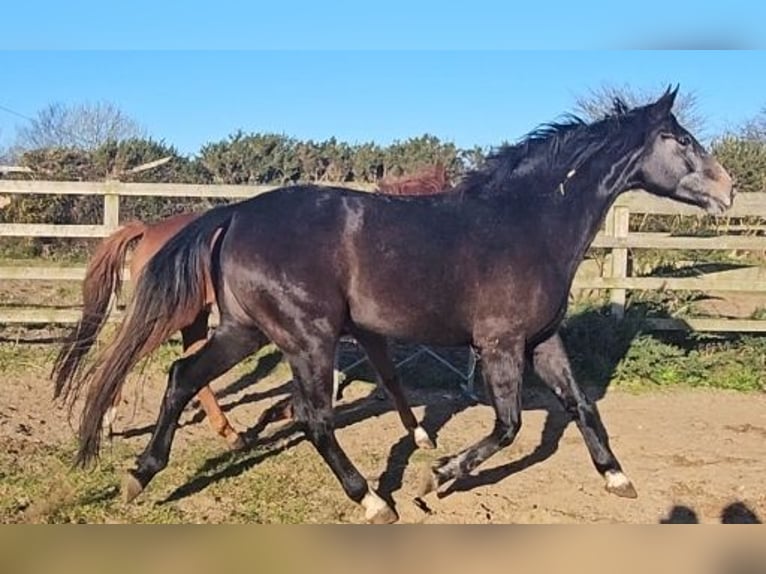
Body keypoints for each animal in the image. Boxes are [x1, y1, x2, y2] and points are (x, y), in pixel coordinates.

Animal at [52, 165, 452, 450]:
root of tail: (149, 228)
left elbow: (386, 376)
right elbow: (385, 376)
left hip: (199, 318)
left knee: (186, 367)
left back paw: (229, 432)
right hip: (171, 315)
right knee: (122, 353)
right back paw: (107, 421)